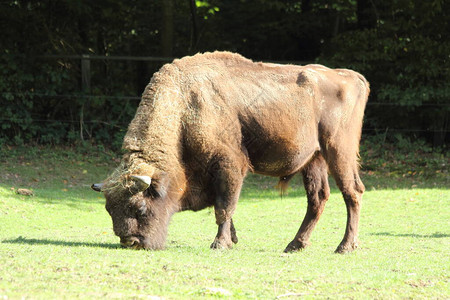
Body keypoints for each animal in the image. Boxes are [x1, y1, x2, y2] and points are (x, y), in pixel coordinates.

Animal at [91, 51, 370, 253]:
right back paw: (295, 245)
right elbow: (224, 205)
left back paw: (345, 247)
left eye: (139, 208)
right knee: (318, 198)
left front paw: (220, 243)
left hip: (339, 151)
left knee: (352, 192)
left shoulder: (230, 165)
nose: (131, 242)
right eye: (109, 210)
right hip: (314, 159)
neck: (185, 108)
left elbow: (224, 206)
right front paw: (233, 239)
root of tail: (352, 76)